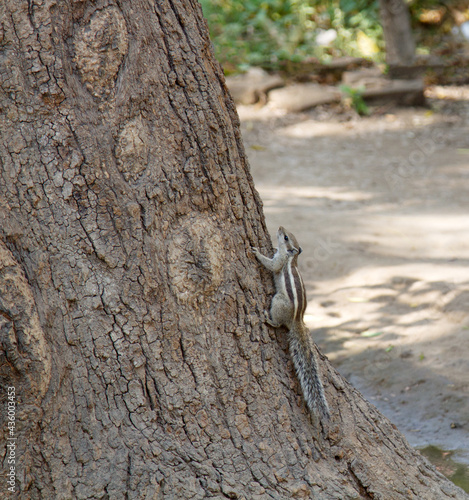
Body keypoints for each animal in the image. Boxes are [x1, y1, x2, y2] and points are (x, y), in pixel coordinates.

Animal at [250, 227, 330, 426]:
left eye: (286, 237)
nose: (280, 227)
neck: (290, 256)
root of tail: (297, 321)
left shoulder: (279, 262)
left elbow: (271, 265)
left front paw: (257, 253)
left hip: (278, 301)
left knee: (278, 323)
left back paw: (268, 319)